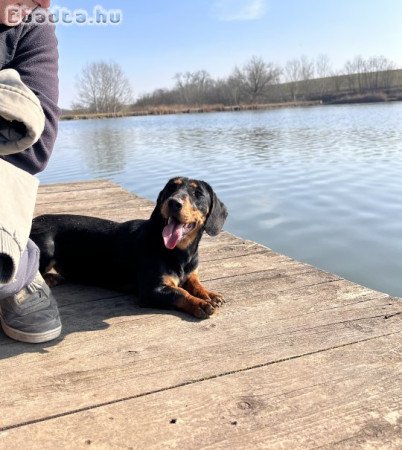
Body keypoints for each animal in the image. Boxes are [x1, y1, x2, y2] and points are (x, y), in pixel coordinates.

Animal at [30, 177, 228, 319]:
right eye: (171, 189)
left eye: (198, 193)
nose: (173, 202)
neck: (179, 252)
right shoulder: (152, 290)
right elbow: (180, 293)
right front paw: (200, 304)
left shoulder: (191, 273)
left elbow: (195, 284)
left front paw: (209, 294)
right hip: (46, 247)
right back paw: (50, 278)